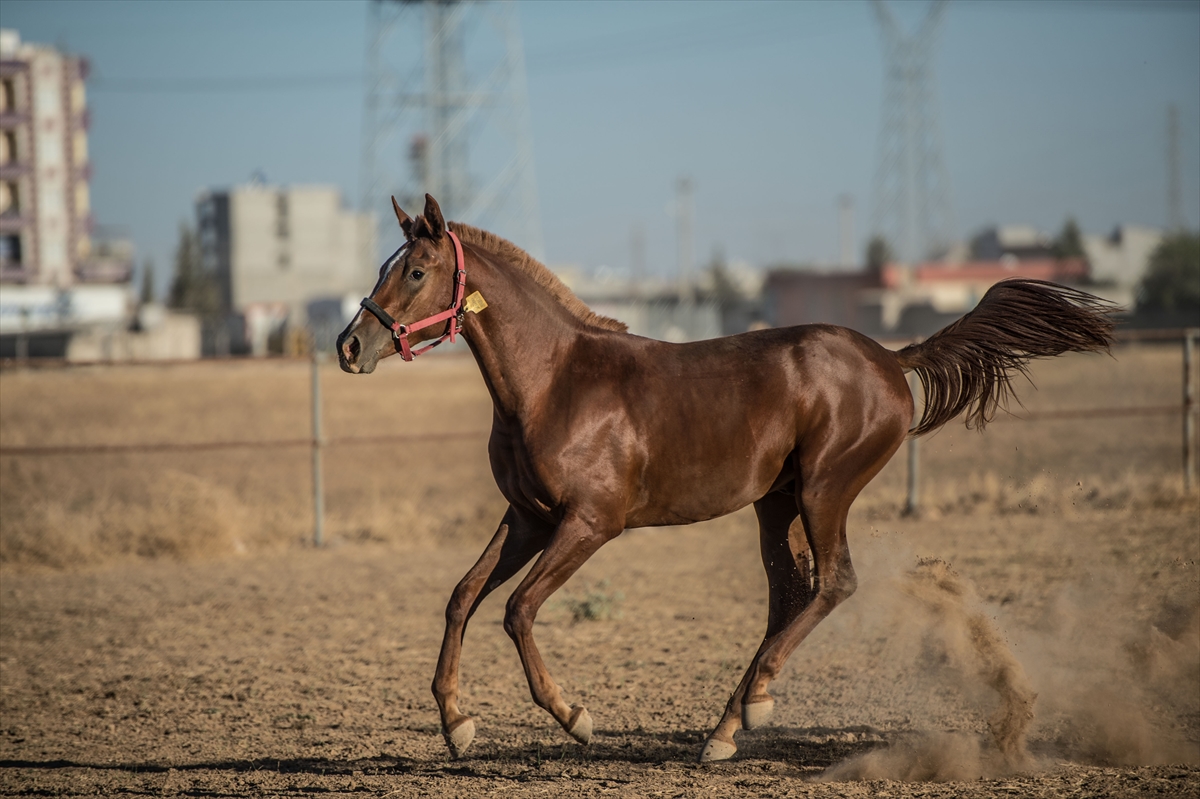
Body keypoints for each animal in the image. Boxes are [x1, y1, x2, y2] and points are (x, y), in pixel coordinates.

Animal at [336, 193, 1113, 758]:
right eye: (381, 267)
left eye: (413, 271)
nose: (350, 345)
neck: (555, 382)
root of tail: (891, 360)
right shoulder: (527, 517)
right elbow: (462, 597)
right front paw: (456, 723)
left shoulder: (591, 523)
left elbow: (517, 608)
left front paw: (573, 715)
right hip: (776, 503)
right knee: (790, 593)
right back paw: (727, 728)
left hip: (824, 490)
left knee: (833, 583)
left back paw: (752, 707)